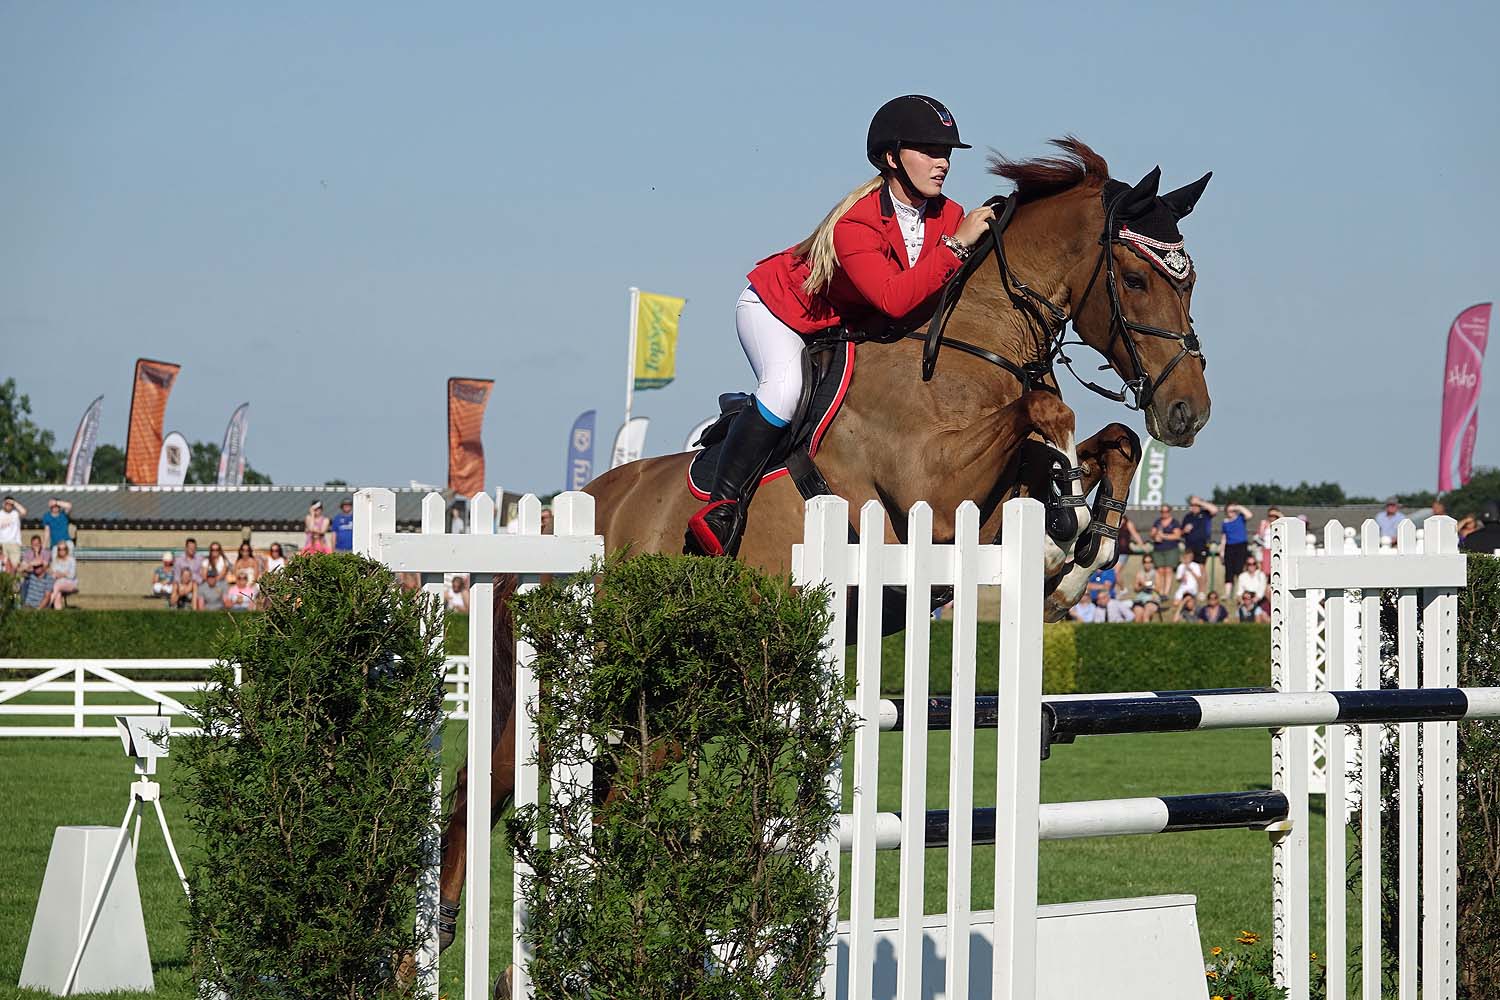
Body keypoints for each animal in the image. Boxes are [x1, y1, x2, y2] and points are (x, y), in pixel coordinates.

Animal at [438, 138, 1212, 947]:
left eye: (1189, 283)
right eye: (1135, 278)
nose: (1187, 412)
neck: (969, 356)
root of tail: (549, 521)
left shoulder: (986, 514)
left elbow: (1109, 440)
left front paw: (1088, 541)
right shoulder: (933, 497)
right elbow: (1048, 411)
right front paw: (1069, 515)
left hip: (667, 698)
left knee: (606, 794)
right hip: (567, 684)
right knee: (483, 785)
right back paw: (440, 931)